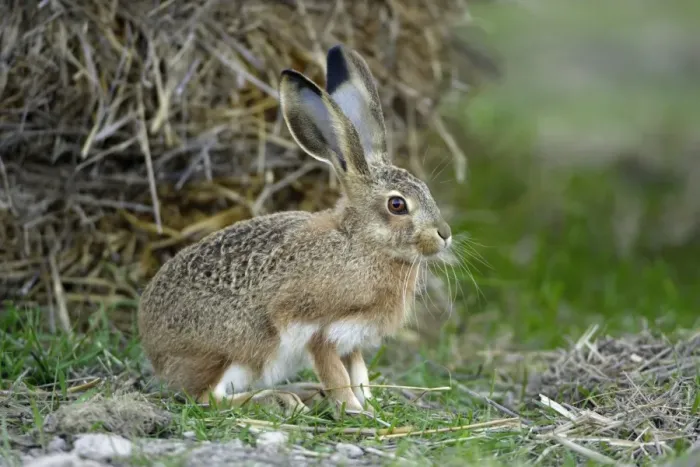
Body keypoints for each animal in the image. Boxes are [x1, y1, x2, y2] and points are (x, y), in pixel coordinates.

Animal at [137, 44, 453, 416]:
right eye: (397, 205)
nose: (444, 234)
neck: (362, 243)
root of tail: (156, 353)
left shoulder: (352, 340)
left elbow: (359, 373)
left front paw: (371, 407)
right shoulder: (319, 331)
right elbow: (338, 377)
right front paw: (354, 411)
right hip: (244, 348)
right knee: (207, 397)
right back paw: (282, 400)